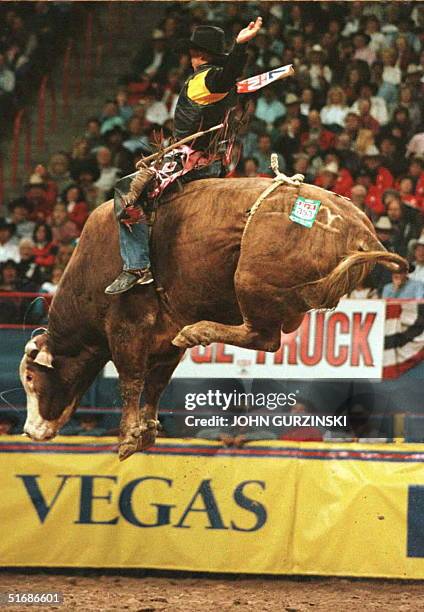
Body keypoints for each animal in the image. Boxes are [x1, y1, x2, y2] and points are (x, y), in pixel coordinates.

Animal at [19, 177, 404, 460]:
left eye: (30, 377)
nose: (29, 431)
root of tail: (359, 231)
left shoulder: (127, 327)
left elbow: (131, 379)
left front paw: (128, 437)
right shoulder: (164, 341)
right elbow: (155, 384)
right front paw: (147, 431)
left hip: (251, 280)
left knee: (263, 337)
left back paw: (199, 331)